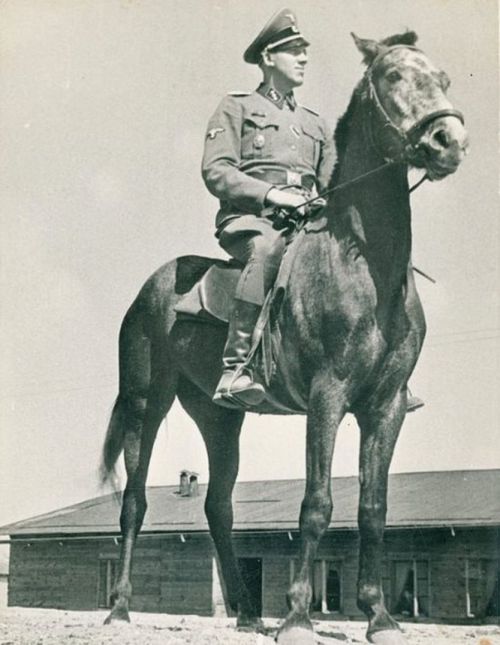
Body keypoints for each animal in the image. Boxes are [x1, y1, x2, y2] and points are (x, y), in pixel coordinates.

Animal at [99, 32, 466, 644]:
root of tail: (150, 288)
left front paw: (379, 616)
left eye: (442, 78)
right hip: (146, 403)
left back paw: (247, 610)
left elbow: (373, 508)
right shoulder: (327, 397)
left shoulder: (385, 406)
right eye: (393, 75)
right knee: (133, 501)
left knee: (218, 506)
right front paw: (297, 616)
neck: (364, 266)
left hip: (218, 416)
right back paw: (120, 608)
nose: (449, 142)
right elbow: (317, 503)